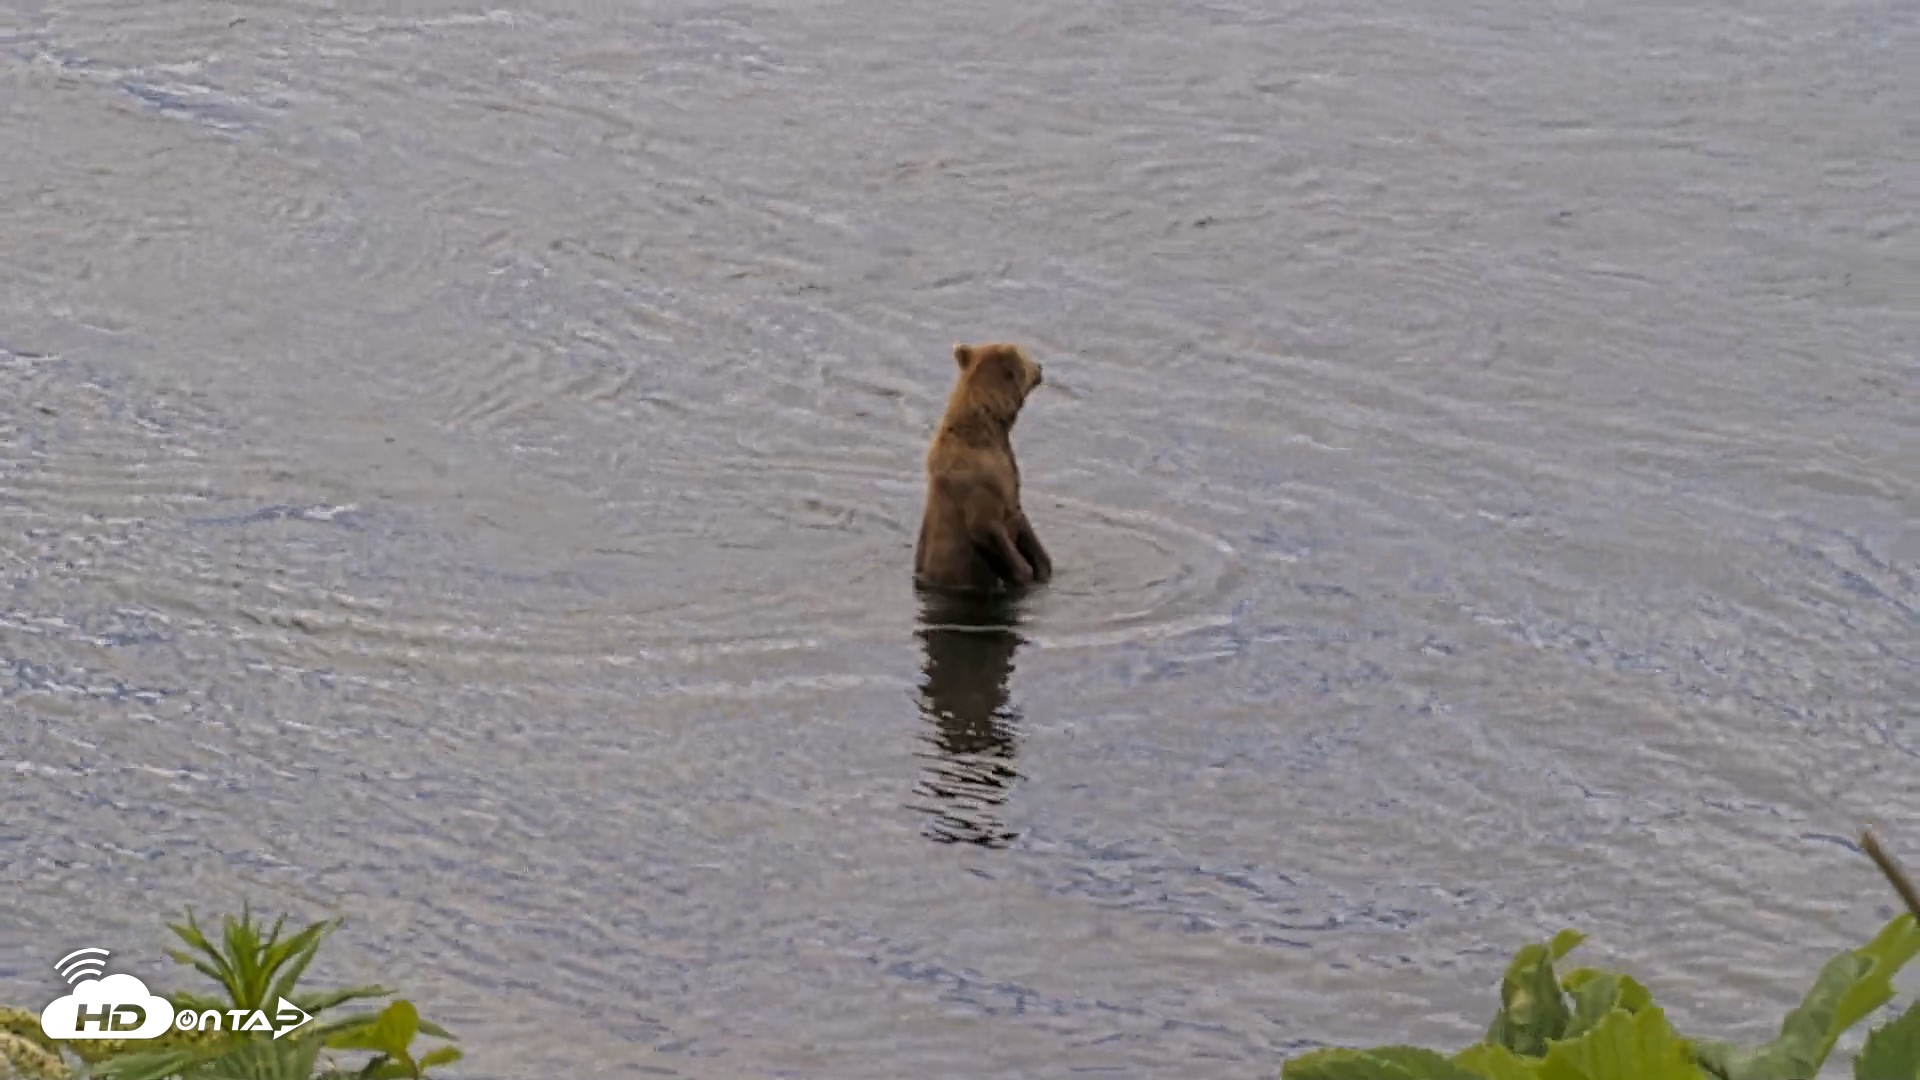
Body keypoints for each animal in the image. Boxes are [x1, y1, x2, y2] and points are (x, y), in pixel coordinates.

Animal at [913, 342, 1052, 592]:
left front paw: (1043, 567)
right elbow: (985, 528)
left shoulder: (1008, 475)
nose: (1040, 366)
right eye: (1025, 356)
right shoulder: (978, 483)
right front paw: (1023, 575)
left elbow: (1021, 519)